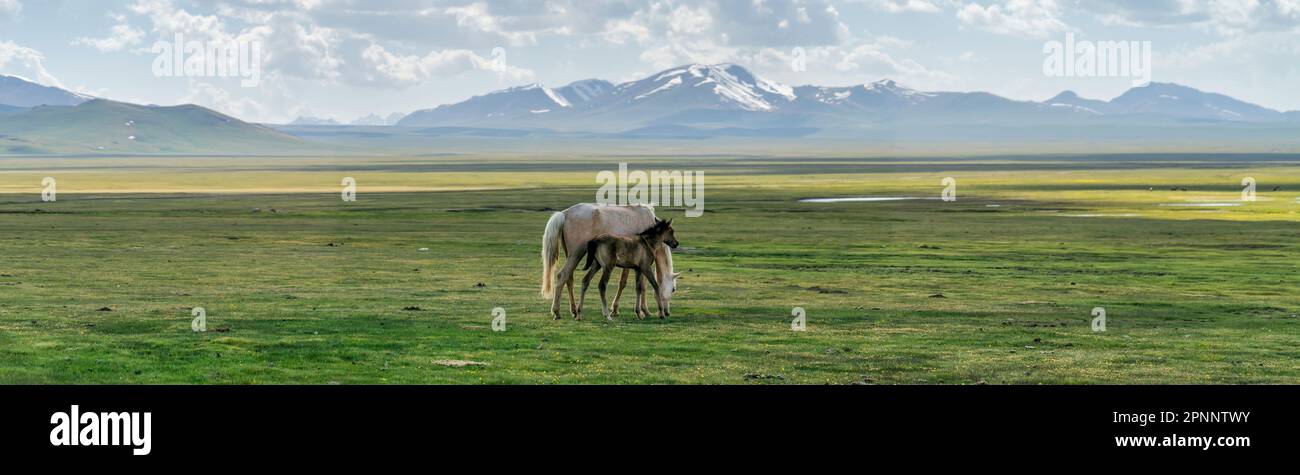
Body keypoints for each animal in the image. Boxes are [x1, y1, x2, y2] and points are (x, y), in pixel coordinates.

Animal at [540, 203, 681, 318]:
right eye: (673, 289)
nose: (667, 312)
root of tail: (564, 213)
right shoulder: (641, 264)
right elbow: (639, 285)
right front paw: (644, 311)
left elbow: (630, 284)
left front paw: (619, 309)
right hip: (576, 254)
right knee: (562, 276)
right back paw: (557, 311)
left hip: (571, 255)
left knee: (569, 277)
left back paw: (574, 310)